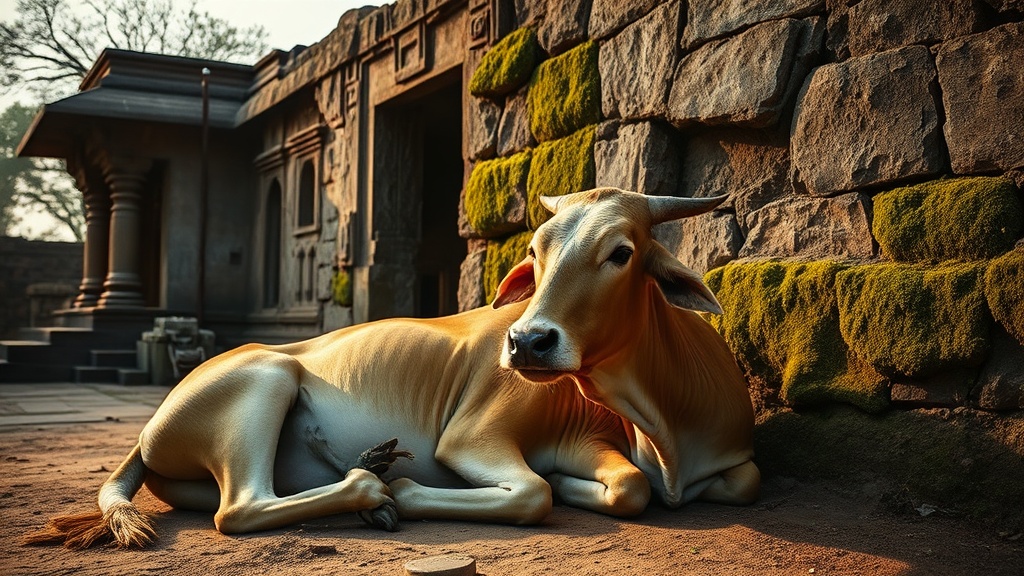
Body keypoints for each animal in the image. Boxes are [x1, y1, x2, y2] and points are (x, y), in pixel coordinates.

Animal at [25, 187, 757, 550]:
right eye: (537, 249)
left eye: (622, 251)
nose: (526, 344)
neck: (670, 427)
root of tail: (148, 429)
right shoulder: (476, 437)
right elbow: (542, 493)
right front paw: (406, 491)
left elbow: (697, 484)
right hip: (266, 379)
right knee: (240, 508)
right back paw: (372, 486)